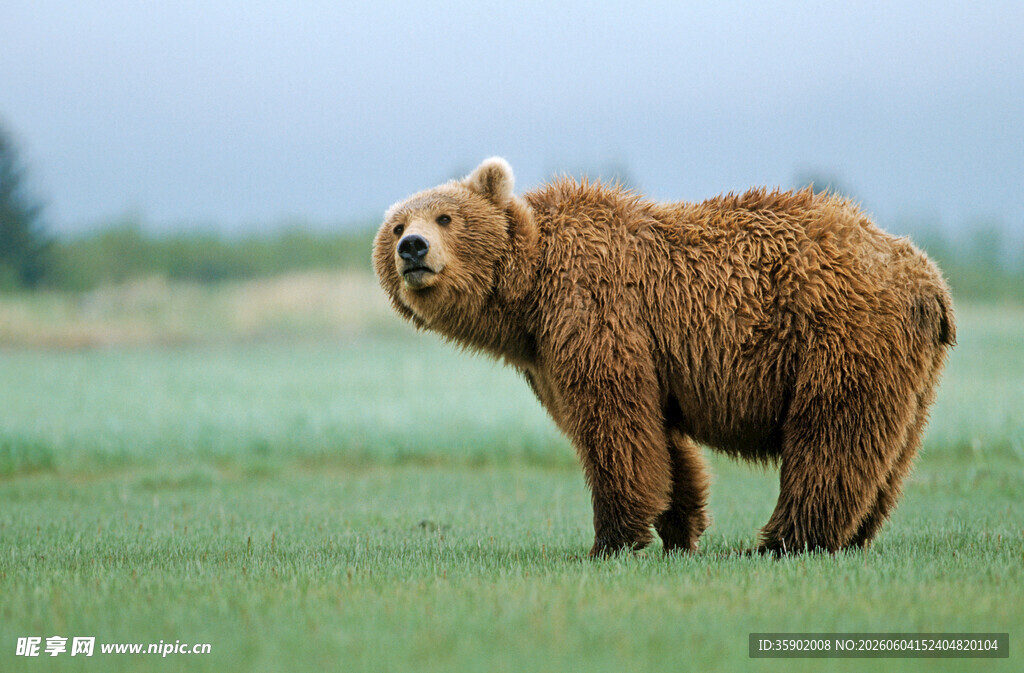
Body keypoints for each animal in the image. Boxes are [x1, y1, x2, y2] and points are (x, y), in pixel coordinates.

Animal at [373, 157, 955, 557]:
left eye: (445, 217)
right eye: (397, 225)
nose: (413, 249)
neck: (528, 295)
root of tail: (925, 276)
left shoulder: (594, 307)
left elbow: (614, 422)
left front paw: (610, 540)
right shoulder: (550, 356)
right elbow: (660, 439)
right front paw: (681, 527)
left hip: (835, 331)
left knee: (831, 435)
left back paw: (782, 541)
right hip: (910, 367)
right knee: (890, 453)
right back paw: (852, 535)